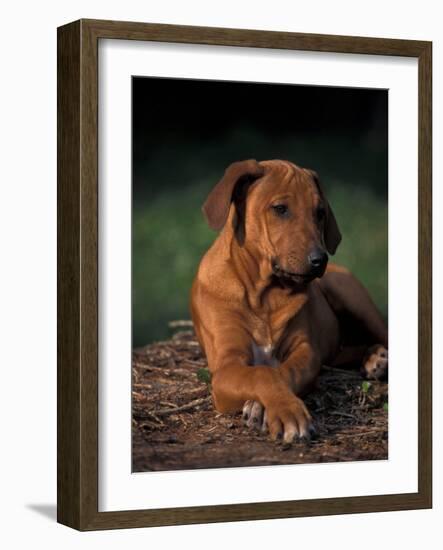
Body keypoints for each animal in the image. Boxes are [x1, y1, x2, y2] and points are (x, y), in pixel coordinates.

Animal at [191, 158, 388, 444]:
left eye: (320, 212)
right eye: (280, 209)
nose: (320, 260)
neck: (264, 295)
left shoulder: (306, 351)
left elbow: (281, 373)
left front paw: (271, 408)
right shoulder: (226, 366)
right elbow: (262, 373)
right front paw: (282, 411)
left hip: (352, 295)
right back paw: (373, 358)